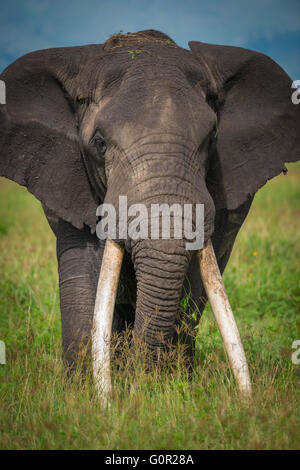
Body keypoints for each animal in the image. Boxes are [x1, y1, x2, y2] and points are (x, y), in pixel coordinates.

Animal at [0, 29, 298, 396]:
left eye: (212, 138)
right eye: (99, 143)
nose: (135, 387)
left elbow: (192, 285)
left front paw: (168, 388)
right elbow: (86, 273)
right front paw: (83, 396)